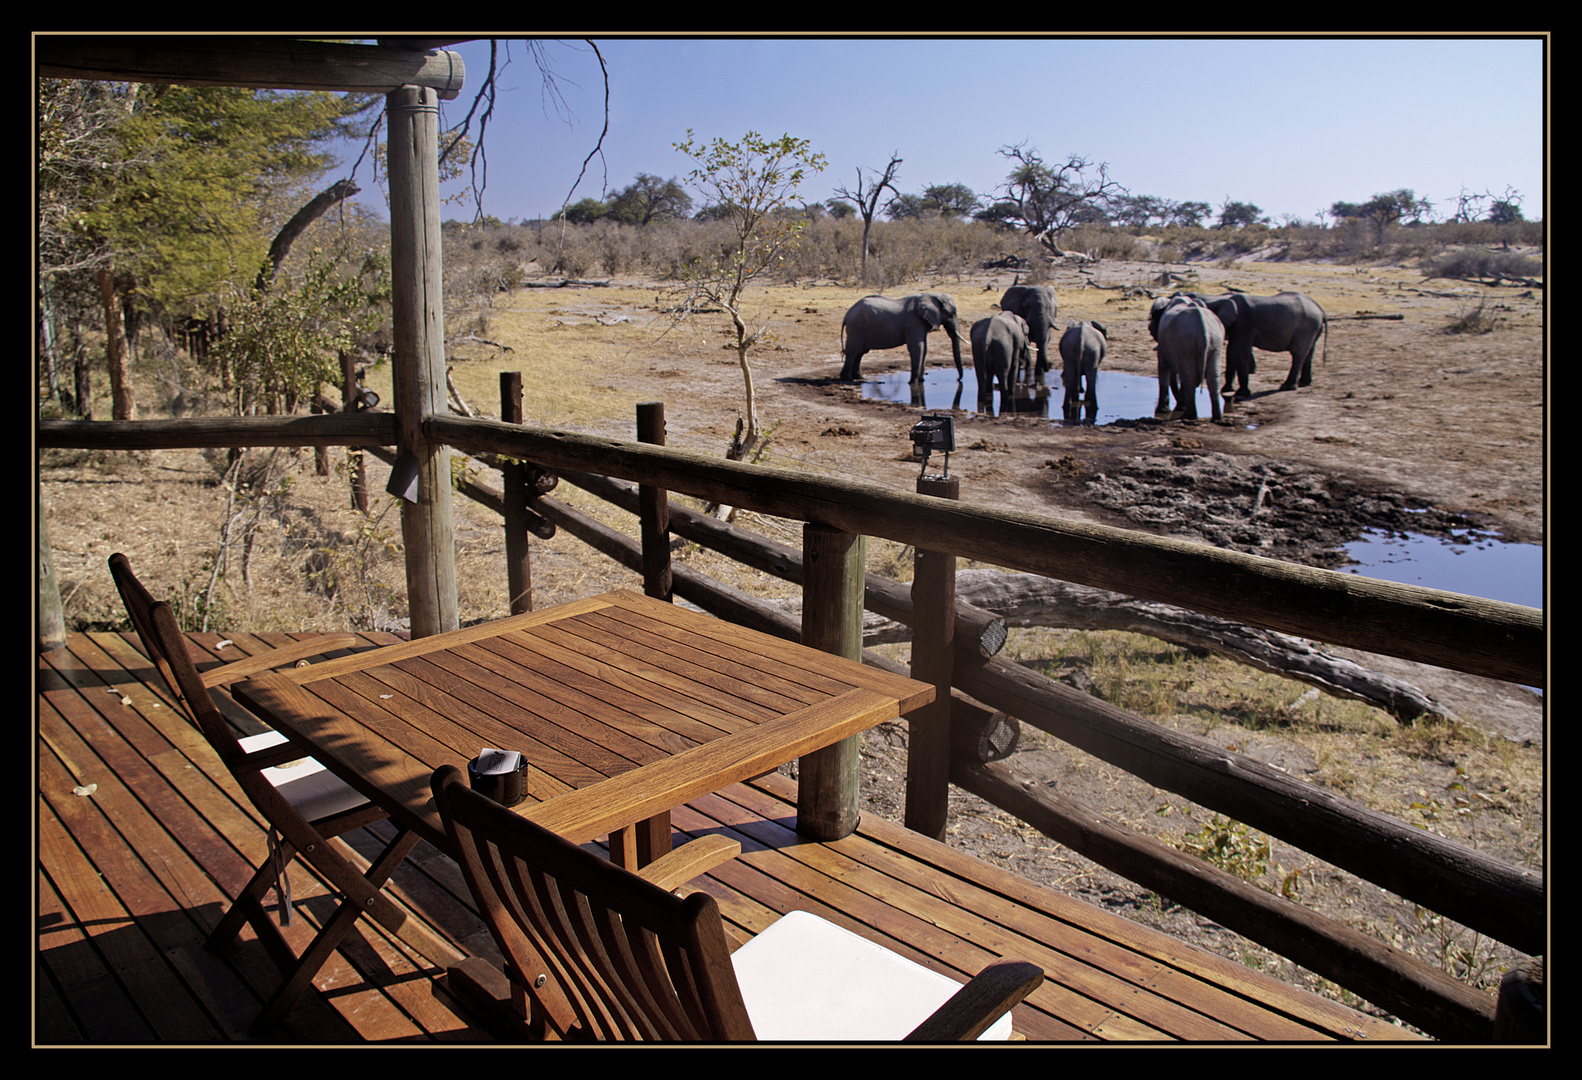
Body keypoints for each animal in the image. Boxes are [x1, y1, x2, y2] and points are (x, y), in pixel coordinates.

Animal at [1151, 295, 1221, 423]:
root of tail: (1204, 328)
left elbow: (1163, 367)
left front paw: (1163, 411)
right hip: (1216, 342)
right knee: (1212, 378)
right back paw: (1216, 419)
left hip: (1186, 342)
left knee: (1189, 377)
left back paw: (1188, 415)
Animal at [1189, 290, 1322, 401]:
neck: (1216, 299)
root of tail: (1320, 309)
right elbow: (1231, 351)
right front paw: (1226, 390)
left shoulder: (1243, 321)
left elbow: (1239, 351)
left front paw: (1241, 393)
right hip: (1313, 329)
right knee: (1309, 353)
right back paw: (1305, 383)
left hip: (1305, 328)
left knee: (1298, 354)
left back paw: (1287, 387)